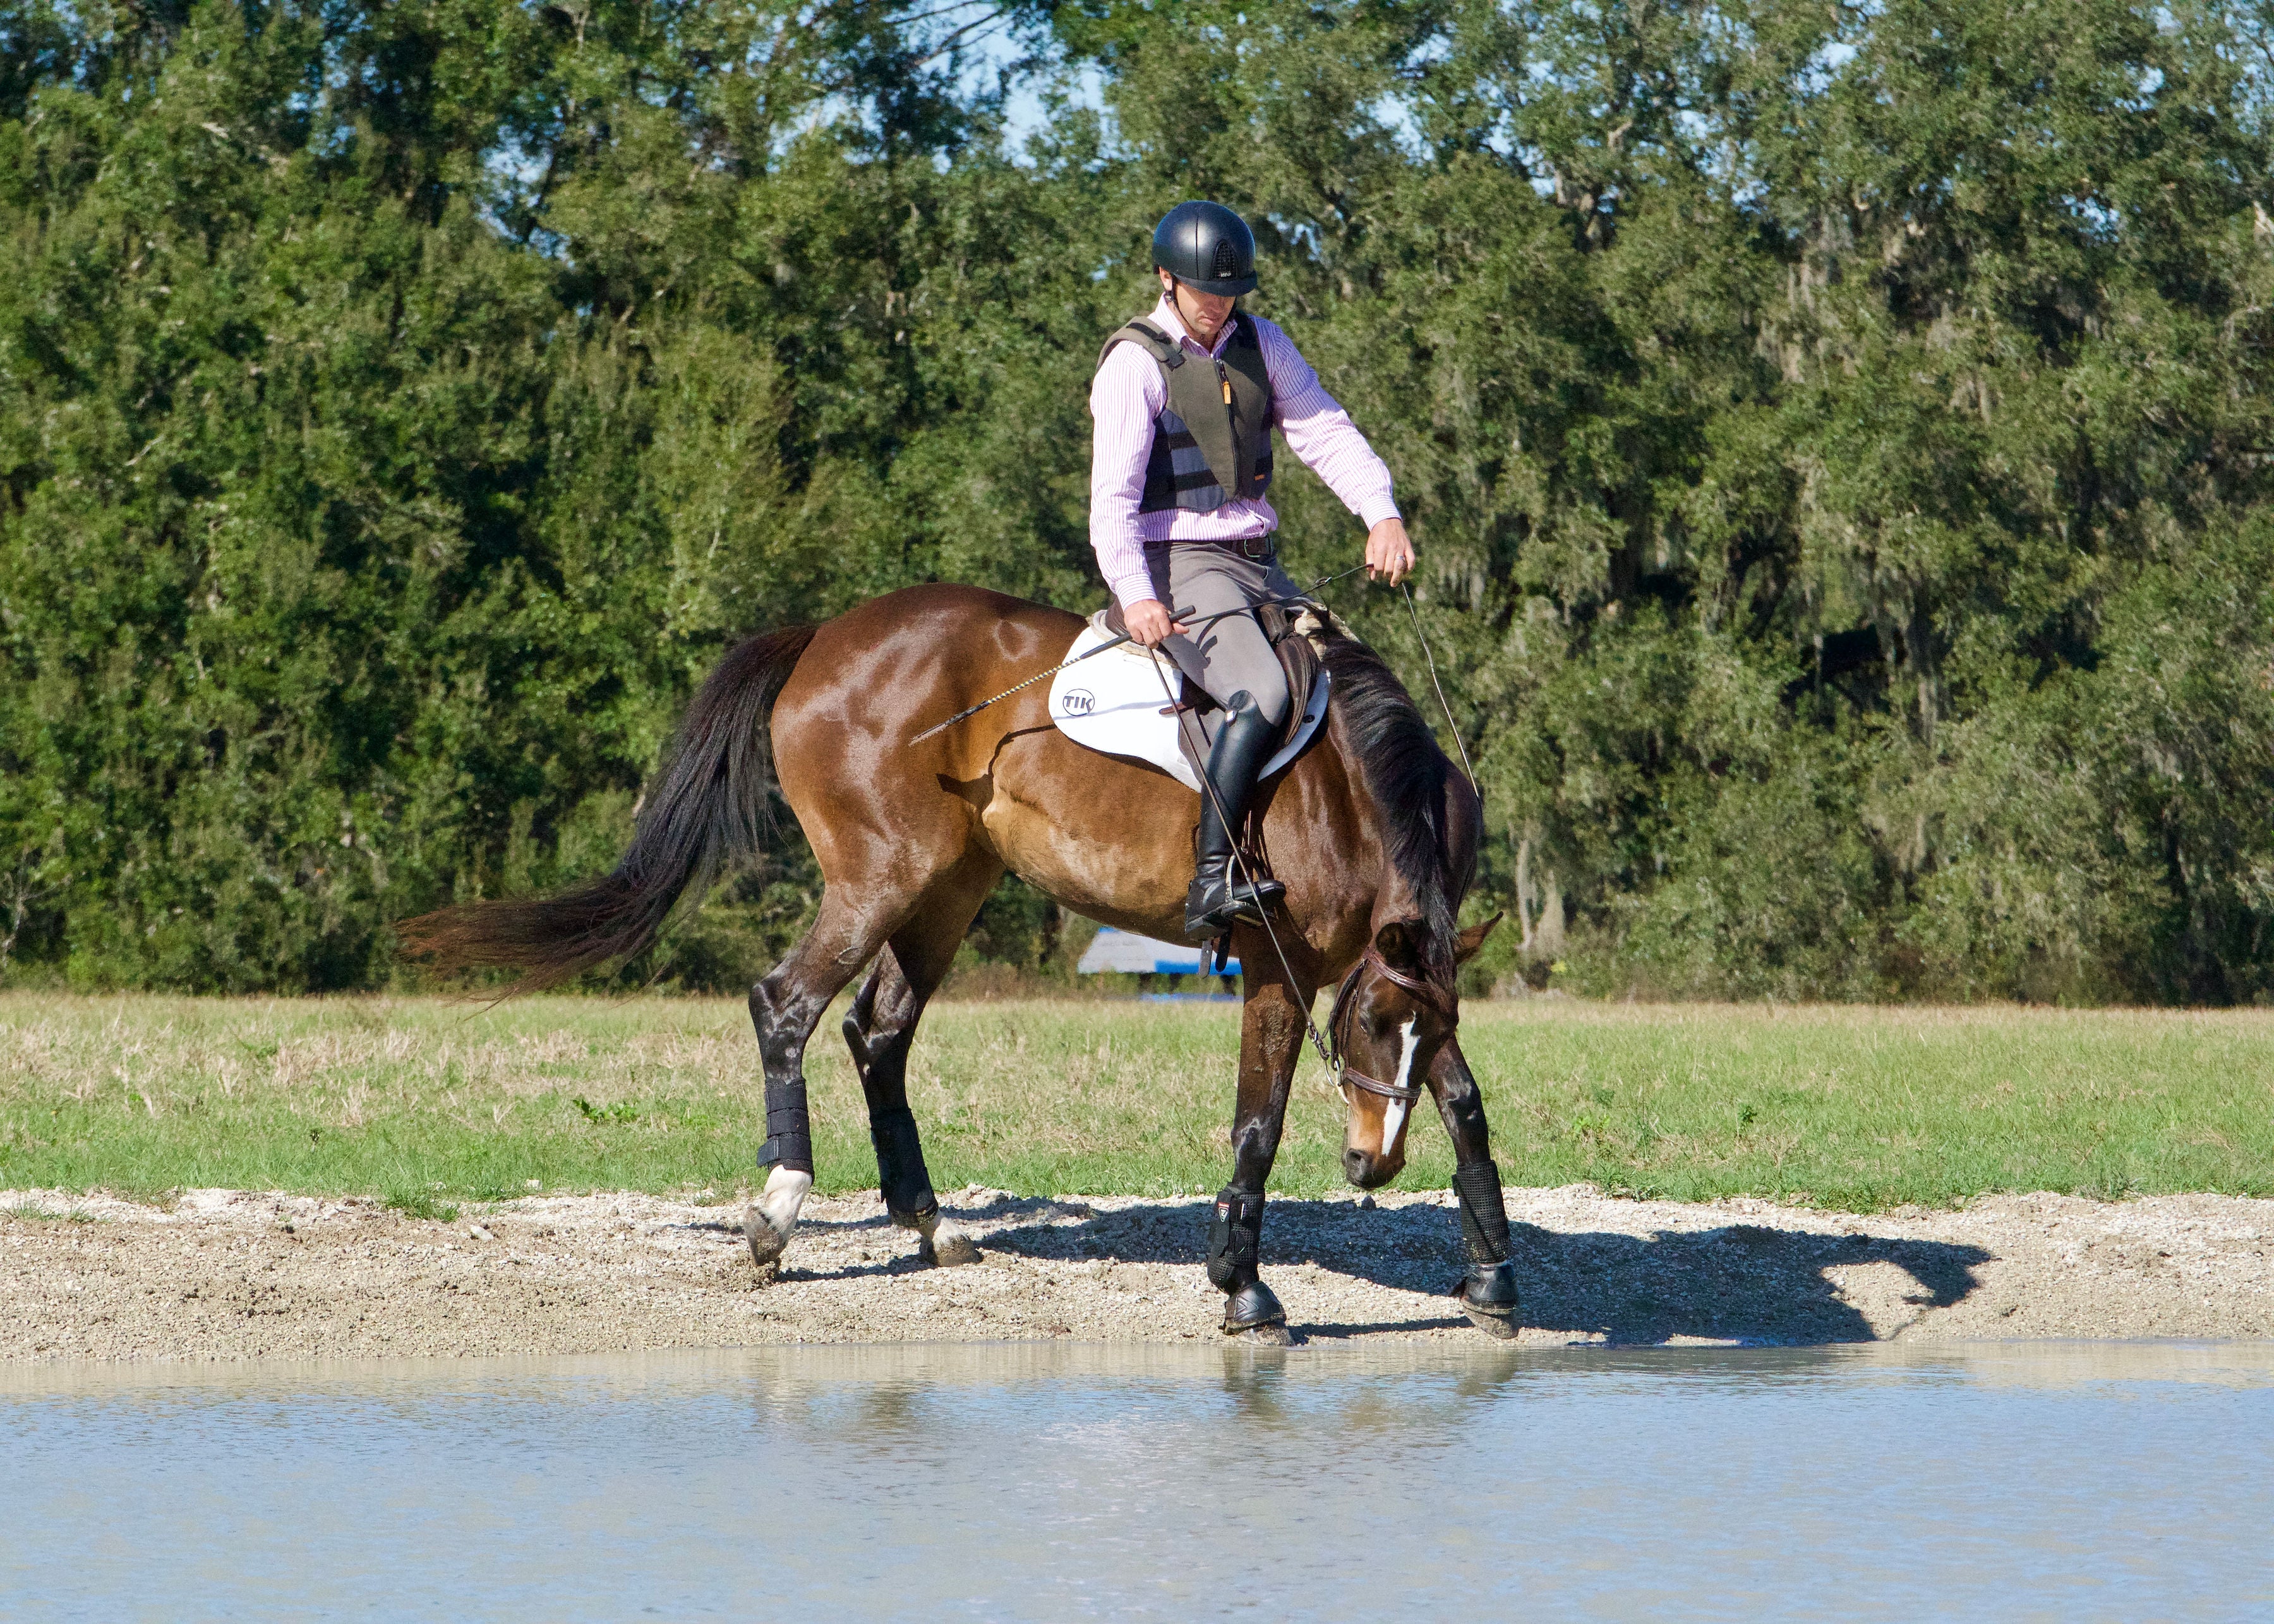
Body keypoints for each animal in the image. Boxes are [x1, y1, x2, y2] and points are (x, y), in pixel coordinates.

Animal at [399, 582, 1521, 1342]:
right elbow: (1260, 1121)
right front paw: (1244, 1287)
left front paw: (1494, 1280)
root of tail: (828, 634)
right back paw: (778, 1211)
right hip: (879, 877)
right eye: (1366, 1025)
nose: (1372, 1166)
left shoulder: (1412, 976)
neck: (1355, 788)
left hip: (946, 888)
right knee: (787, 1005)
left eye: (1423, 1029)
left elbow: (1465, 1105)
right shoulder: (1275, 963)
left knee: (877, 1029)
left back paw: (929, 1223)